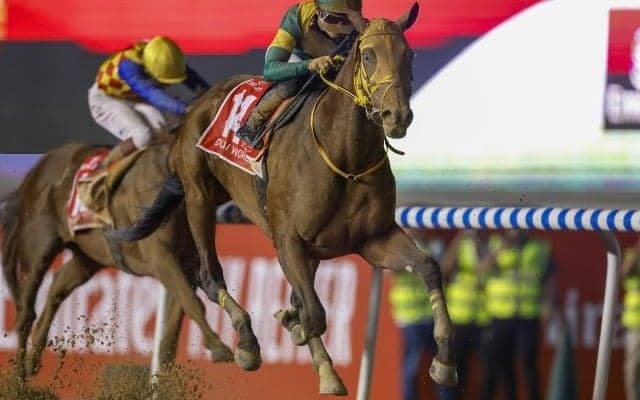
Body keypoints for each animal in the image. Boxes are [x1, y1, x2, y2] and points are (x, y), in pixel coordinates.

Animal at [0, 134, 262, 381]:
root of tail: (38, 168)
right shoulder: (161, 258)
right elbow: (192, 302)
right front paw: (219, 348)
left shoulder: (185, 265)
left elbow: (172, 330)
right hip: (37, 245)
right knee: (25, 313)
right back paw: (19, 378)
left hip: (88, 257)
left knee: (58, 283)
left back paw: (34, 358)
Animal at [113, 3, 457, 395]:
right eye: (368, 55)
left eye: (408, 54)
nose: (396, 116)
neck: (346, 159)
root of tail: (200, 103)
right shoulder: (288, 240)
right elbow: (314, 313)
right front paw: (323, 366)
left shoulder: (374, 238)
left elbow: (427, 268)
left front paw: (444, 362)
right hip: (198, 194)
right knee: (208, 275)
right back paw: (246, 342)